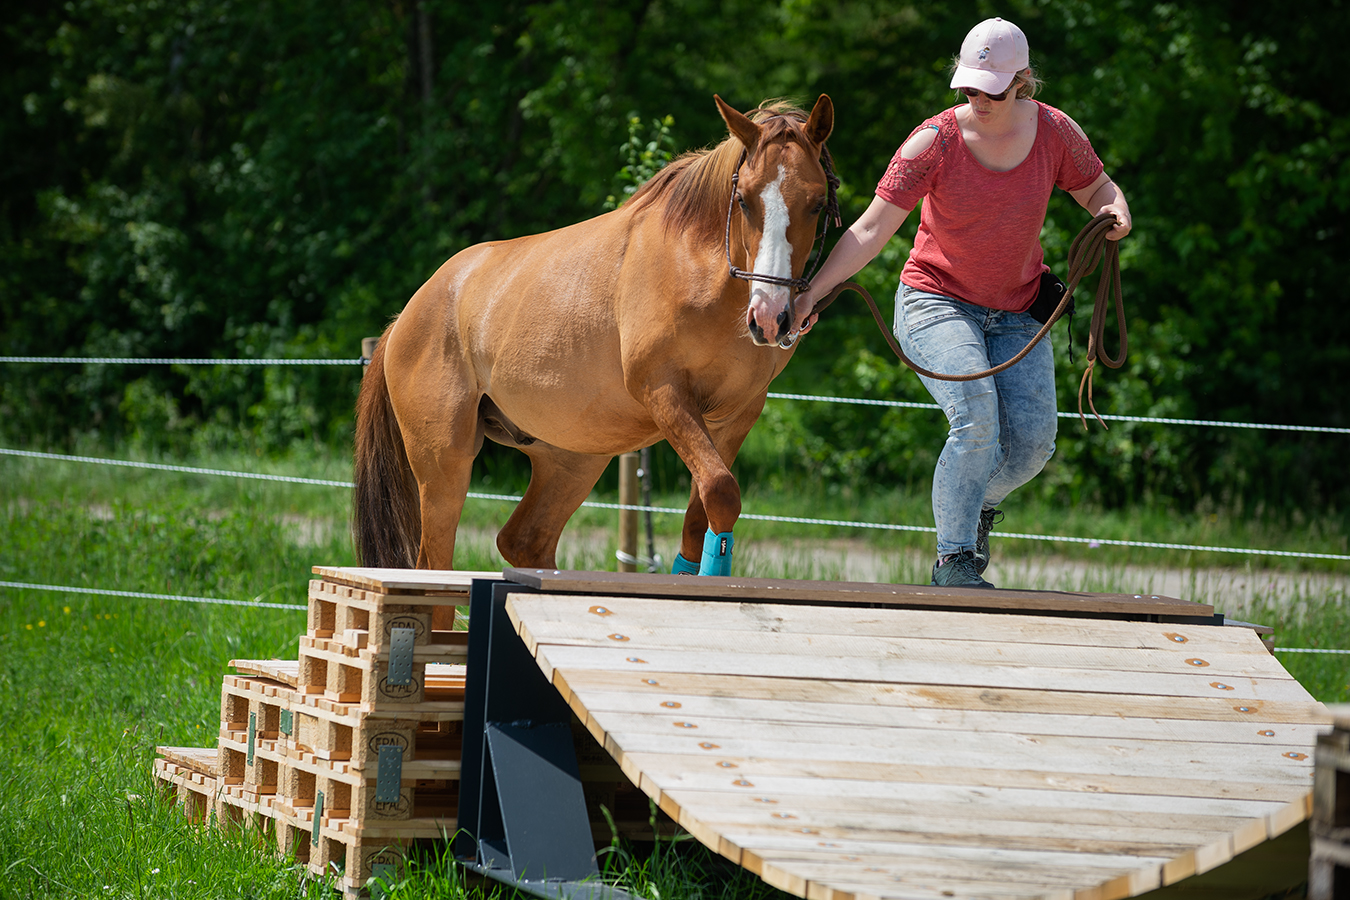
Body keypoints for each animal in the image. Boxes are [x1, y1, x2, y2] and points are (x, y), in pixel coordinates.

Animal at [356, 95, 831, 574]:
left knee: (524, 541)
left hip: (572, 459)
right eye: (744, 201)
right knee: (433, 564)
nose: (769, 317)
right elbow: (720, 490)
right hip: (443, 467)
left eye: (817, 204)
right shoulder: (664, 392)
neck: (702, 271)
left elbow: (705, 516)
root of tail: (407, 315)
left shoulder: (736, 414)